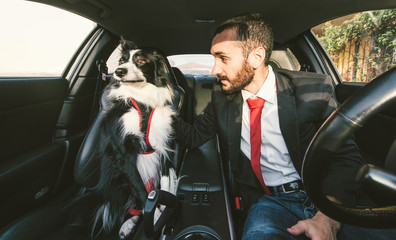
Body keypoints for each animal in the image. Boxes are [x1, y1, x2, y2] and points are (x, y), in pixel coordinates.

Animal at [90, 39, 179, 238]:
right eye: (122, 61)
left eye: (140, 61)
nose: (119, 71)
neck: (142, 100)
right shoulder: (123, 154)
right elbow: (140, 189)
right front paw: (155, 218)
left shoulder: (163, 144)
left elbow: (164, 181)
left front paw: (163, 206)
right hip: (117, 180)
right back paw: (127, 224)